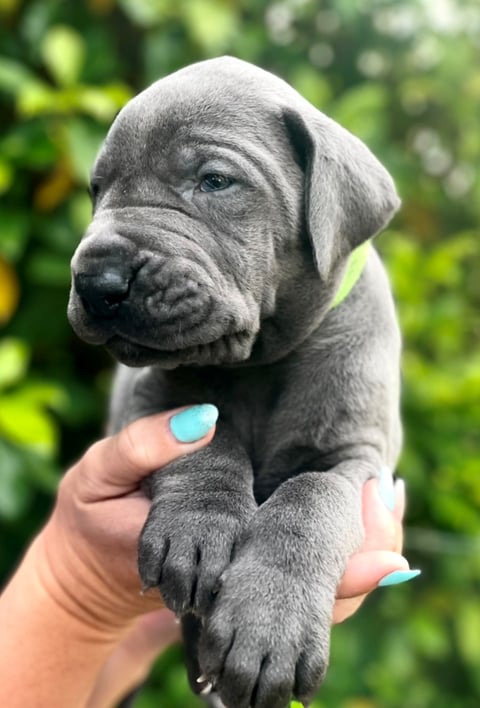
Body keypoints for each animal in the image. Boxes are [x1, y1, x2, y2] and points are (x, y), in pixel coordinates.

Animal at [67, 56, 404, 708]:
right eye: (98, 190)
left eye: (215, 181)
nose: (97, 282)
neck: (255, 365)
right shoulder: (143, 404)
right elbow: (204, 440)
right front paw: (197, 528)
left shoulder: (356, 456)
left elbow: (311, 499)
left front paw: (268, 622)